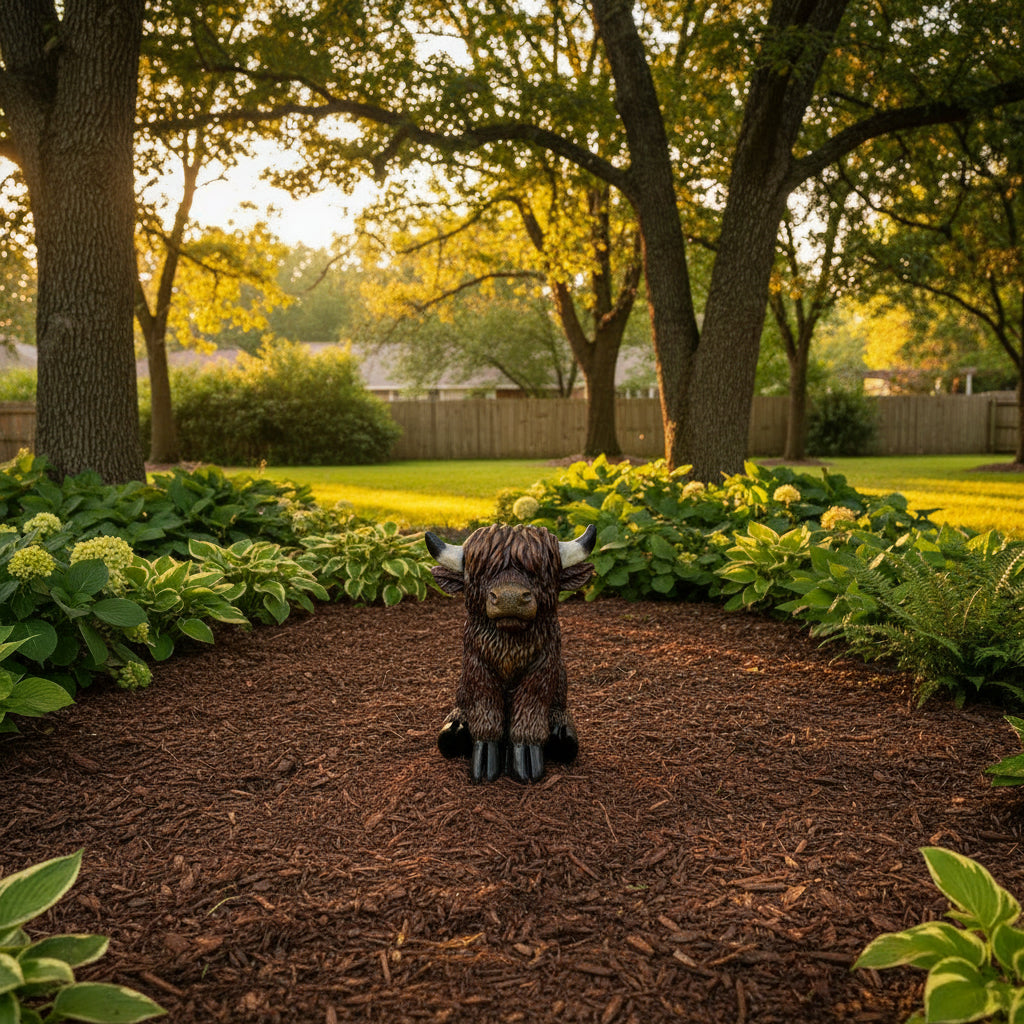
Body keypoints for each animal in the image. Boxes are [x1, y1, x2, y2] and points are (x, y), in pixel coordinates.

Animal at [425, 522, 597, 783]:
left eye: (540, 573)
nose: (509, 598)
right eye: (482, 574)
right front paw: (485, 750)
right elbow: (485, 704)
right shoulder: (476, 665)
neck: (510, 645)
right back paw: (455, 729)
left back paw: (562, 733)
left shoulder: (543, 666)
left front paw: (526, 751)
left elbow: (531, 704)